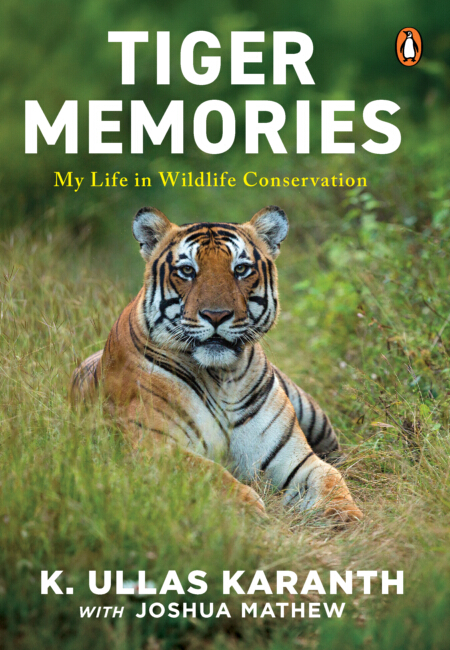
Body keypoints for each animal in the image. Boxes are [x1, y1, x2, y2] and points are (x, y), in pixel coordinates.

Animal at [70, 205, 362, 523]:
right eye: (187, 271)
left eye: (241, 269)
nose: (216, 315)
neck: (223, 378)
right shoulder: (154, 446)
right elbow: (209, 474)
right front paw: (249, 512)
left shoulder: (294, 458)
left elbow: (330, 478)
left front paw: (346, 517)